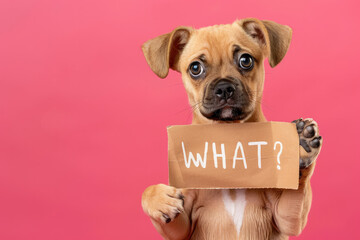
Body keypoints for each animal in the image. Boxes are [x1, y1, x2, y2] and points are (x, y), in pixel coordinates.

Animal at [140, 17, 320, 239]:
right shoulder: (181, 228)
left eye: (245, 60)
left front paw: (300, 146)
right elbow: (147, 193)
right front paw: (159, 199)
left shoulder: (286, 218)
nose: (224, 87)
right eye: (195, 68)